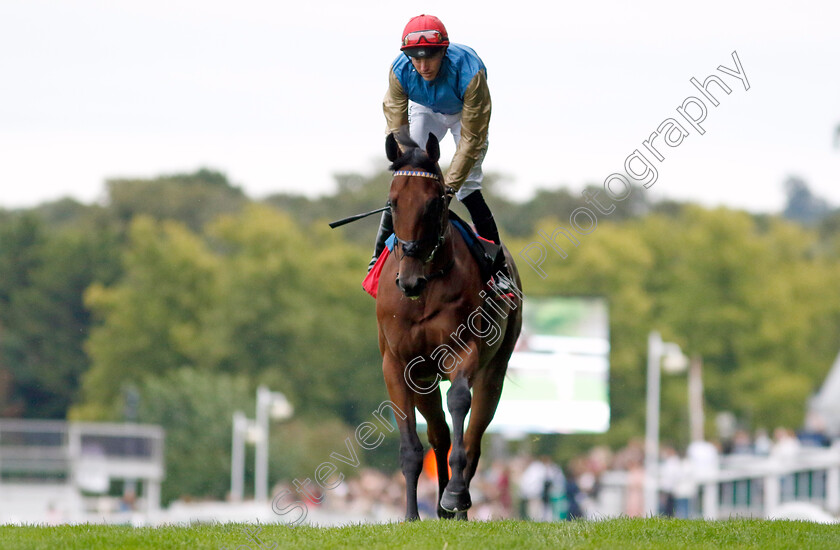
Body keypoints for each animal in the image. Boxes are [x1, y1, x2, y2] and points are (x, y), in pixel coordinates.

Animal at [378, 134, 520, 520]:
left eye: (433, 202)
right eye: (393, 203)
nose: (409, 281)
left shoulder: (464, 349)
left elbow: (459, 401)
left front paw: (455, 495)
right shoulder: (399, 364)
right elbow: (412, 444)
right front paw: (411, 515)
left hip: (495, 370)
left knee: (472, 437)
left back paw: (456, 502)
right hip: (426, 378)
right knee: (439, 434)